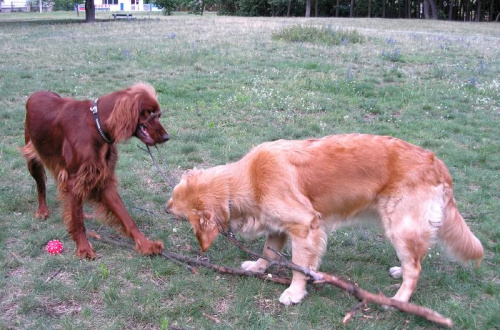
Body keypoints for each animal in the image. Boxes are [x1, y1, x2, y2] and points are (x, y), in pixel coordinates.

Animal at [21, 82, 169, 258]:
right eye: (151, 114)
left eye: (159, 115)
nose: (167, 137)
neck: (97, 126)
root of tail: (35, 94)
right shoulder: (74, 179)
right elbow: (78, 221)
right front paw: (83, 247)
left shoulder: (103, 179)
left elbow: (126, 217)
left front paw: (146, 244)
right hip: (32, 157)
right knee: (41, 185)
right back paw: (43, 210)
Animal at [168, 133, 484, 304]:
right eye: (172, 196)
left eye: (175, 206)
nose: (165, 206)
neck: (248, 180)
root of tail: (436, 162)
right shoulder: (278, 227)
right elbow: (269, 251)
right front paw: (257, 267)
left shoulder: (305, 225)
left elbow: (300, 267)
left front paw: (295, 293)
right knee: (414, 262)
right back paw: (399, 271)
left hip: (401, 227)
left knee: (415, 269)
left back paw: (398, 300)